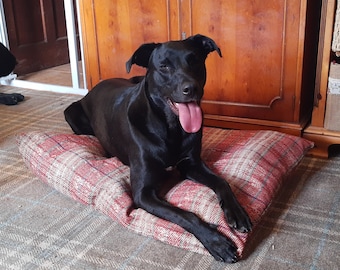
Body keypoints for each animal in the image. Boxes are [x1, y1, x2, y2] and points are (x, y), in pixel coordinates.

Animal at [63, 34, 251, 264]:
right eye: (164, 66)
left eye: (195, 61)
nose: (191, 89)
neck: (171, 126)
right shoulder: (143, 194)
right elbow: (185, 214)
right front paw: (216, 242)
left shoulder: (191, 164)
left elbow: (222, 182)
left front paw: (237, 212)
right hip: (71, 113)